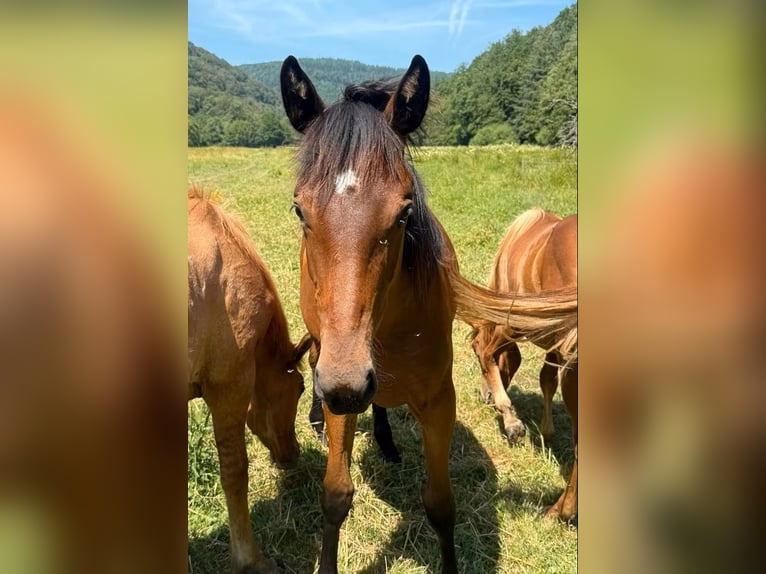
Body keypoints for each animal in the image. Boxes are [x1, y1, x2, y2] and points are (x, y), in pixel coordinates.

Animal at [470, 208, 578, 520]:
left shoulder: (512, 324)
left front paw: (512, 422)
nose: (484, 395)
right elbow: (546, 380)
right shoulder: (555, 347)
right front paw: (545, 431)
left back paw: (560, 511)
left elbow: (487, 352)